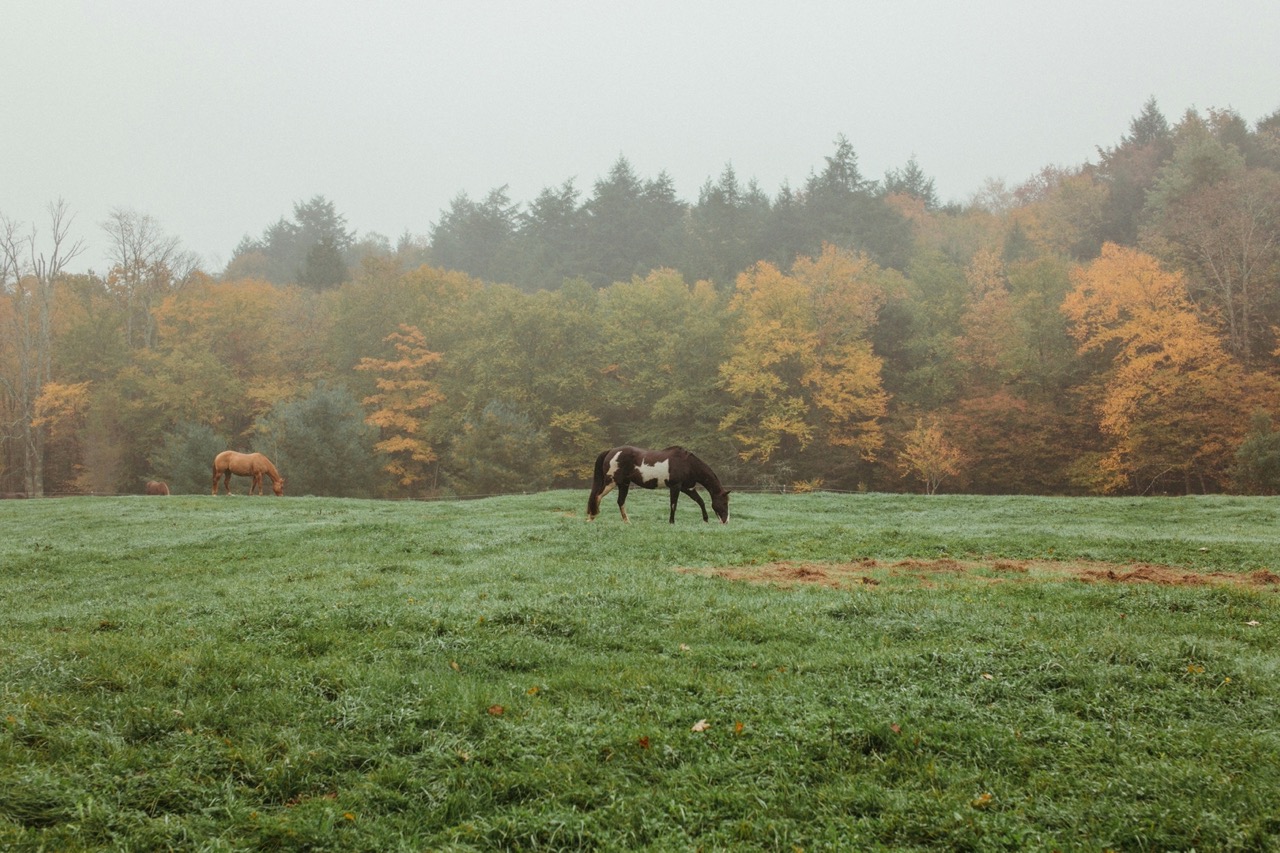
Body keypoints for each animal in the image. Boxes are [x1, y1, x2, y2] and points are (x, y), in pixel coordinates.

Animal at [587, 445, 730, 524]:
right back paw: (591, 517)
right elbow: (673, 505)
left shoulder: (687, 488)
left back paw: (627, 522)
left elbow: (700, 501)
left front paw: (705, 520)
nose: (725, 521)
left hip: (624, 484)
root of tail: (611, 451)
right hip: (611, 482)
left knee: (620, 501)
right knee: (597, 496)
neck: (687, 464)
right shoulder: (676, 487)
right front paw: (671, 522)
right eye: (724, 502)